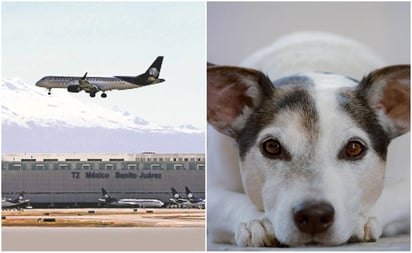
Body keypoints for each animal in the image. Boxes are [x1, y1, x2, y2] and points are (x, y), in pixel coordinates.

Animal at [206, 32, 408, 248]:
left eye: (354, 148)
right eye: (271, 146)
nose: (314, 215)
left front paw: (362, 218)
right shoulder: (213, 188)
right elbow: (227, 202)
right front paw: (256, 221)